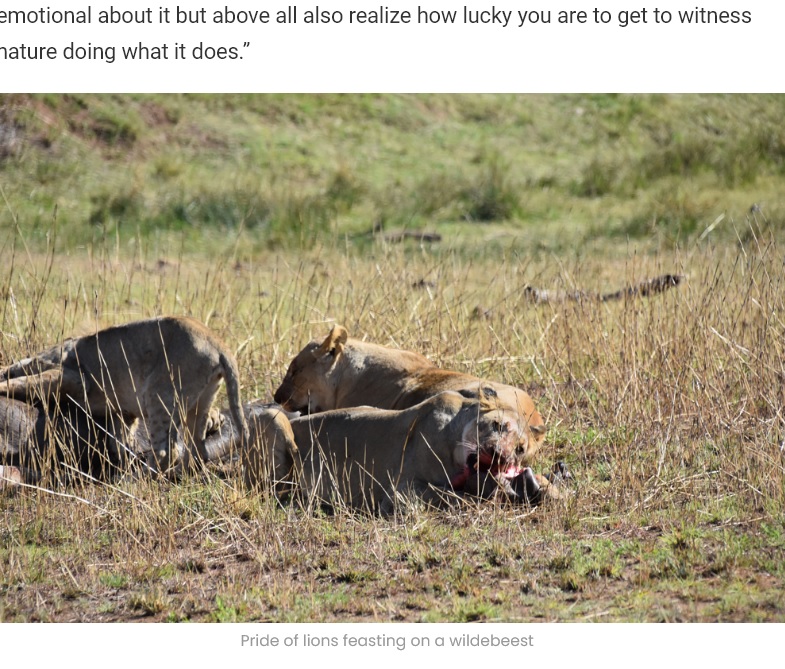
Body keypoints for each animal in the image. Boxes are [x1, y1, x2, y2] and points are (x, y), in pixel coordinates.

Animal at [0, 316, 248, 472]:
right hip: (202, 401)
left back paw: (141, 476)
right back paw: (180, 472)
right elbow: (119, 441)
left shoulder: (74, 376)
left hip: (158, 393)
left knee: (166, 452)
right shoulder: (122, 413)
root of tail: (218, 345)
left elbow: (25, 381)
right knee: (197, 449)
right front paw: (123, 457)